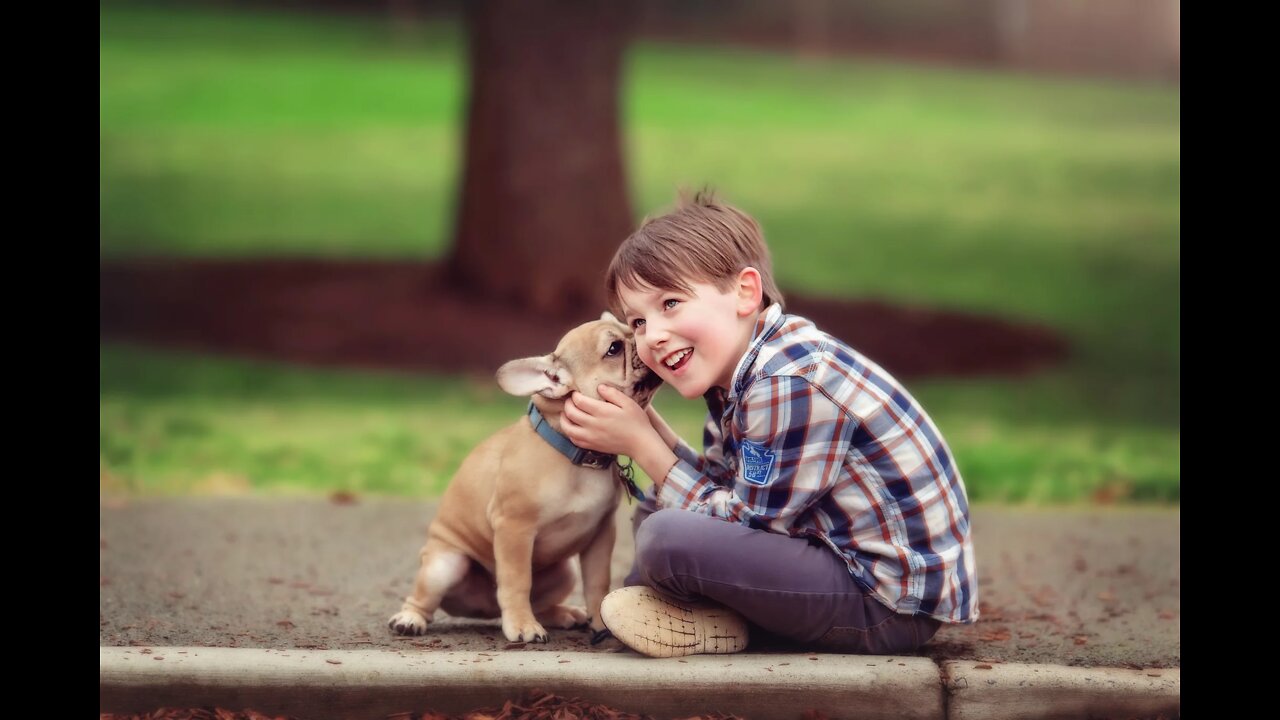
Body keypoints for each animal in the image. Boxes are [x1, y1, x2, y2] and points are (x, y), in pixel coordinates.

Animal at [386, 308, 660, 638]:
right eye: (614, 349)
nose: (645, 343)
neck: (575, 453)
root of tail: (487, 609)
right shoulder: (514, 528)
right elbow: (517, 581)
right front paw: (522, 625)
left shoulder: (601, 534)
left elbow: (597, 581)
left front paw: (600, 620)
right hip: (444, 564)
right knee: (424, 598)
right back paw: (409, 619)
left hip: (565, 571)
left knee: (542, 602)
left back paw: (565, 614)